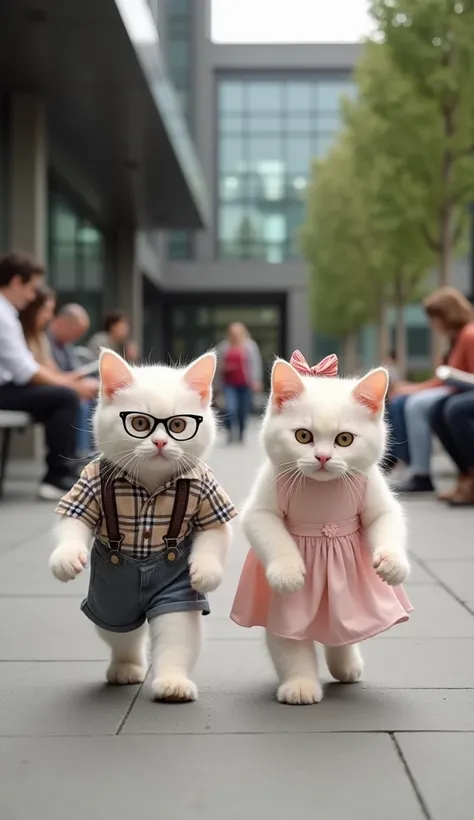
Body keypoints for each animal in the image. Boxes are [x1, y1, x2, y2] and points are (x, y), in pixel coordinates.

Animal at [49, 350, 236, 700]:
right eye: (139, 423)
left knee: (175, 632)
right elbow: (73, 519)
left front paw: (206, 572)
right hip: (110, 603)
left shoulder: (208, 492)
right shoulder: (89, 483)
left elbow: (214, 534)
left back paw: (172, 683)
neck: (150, 484)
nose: (160, 443)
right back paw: (126, 667)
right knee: (122, 634)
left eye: (178, 425)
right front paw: (66, 559)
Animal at [231, 354, 412, 704]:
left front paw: (393, 564)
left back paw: (346, 665)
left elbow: (387, 519)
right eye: (303, 436)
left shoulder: (376, 495)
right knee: (288, 641)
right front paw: (288, 572)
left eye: (345, 439)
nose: (323, 457)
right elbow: (271, 532)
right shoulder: (259, 509)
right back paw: (300, 685)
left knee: (341, 631)